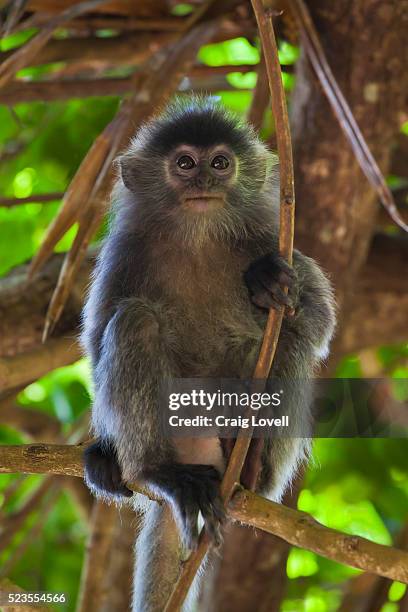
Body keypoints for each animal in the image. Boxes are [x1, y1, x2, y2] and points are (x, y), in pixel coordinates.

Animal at [81, 97, 336, 612]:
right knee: (134, 320)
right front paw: (102, 457)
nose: (203, 181)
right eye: (184, 163)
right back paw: (158, 472)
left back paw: (252, 462)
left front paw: (264, 282)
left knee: (281, 343)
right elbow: (96, 341)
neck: (198, 235)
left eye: (220, 163)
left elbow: (319, 326)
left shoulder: (272, 238)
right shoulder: (123, 252)